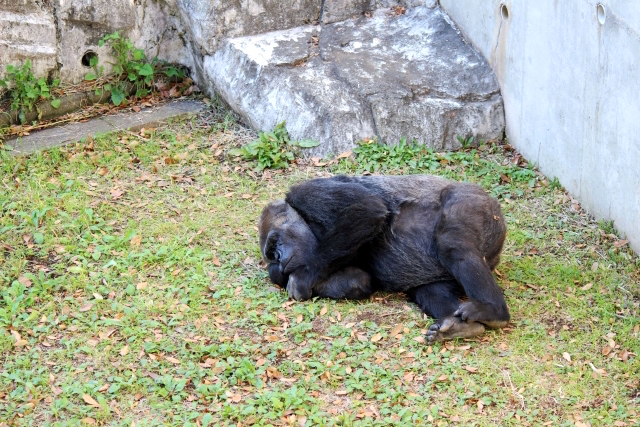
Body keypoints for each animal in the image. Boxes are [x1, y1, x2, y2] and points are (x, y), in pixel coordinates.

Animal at [260, 176, 510, 342]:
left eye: (274, 244)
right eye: (272, 255)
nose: (279, 262)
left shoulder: (305, 192)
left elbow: (366, 208)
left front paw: (302, 278)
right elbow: (359, 281)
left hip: (479, 205)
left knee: (453, 242)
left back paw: (493, 312)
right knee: (431, 291)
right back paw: (459, 327)